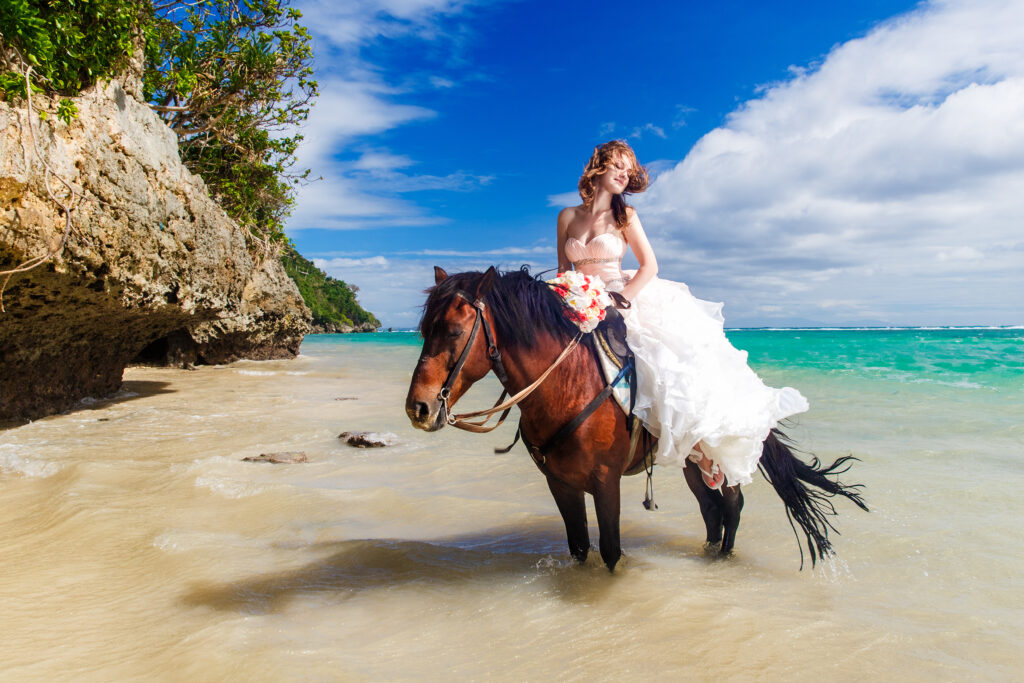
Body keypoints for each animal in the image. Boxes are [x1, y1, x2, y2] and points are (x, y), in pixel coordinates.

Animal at [403, 266, 868, 573]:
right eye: (424, 329)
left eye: (454, 331)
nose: (418, 408)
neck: (567, 385)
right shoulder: (561, 483)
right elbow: (579, 548)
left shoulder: (605, 481)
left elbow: (611, 552)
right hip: (691, 460)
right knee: (712, 510)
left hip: (718, 454)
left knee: (732, 506)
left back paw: (724, 560)